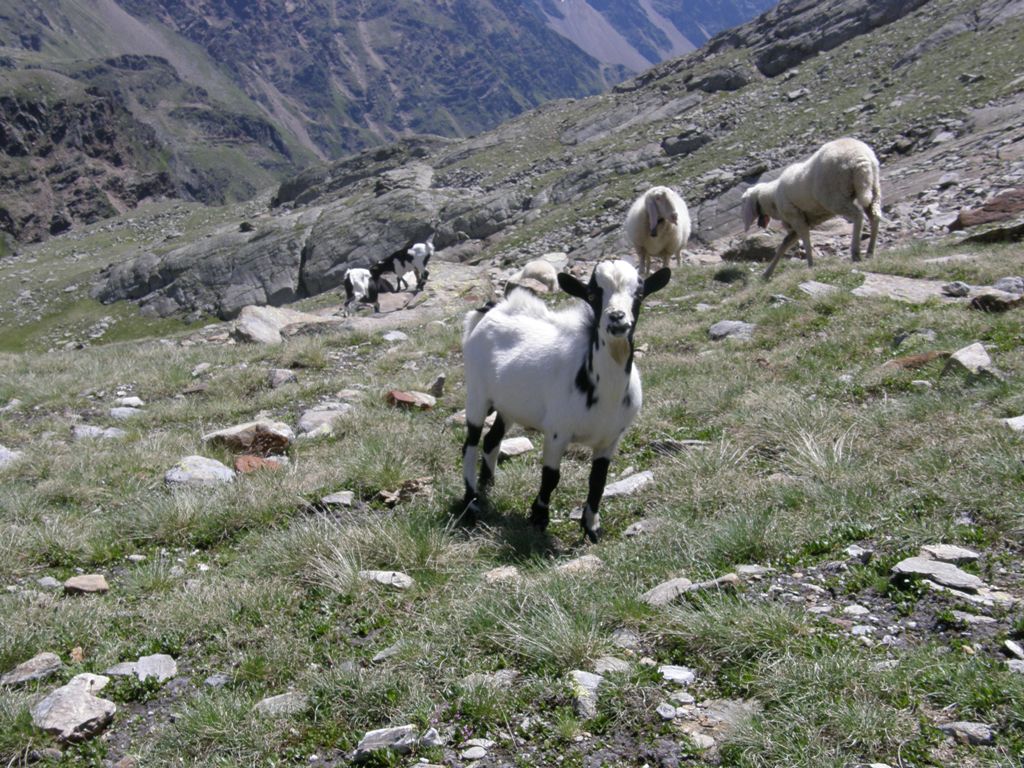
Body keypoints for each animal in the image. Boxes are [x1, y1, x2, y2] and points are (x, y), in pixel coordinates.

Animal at [462, 262, 671, 544]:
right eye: (593, 295)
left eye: (638, 295)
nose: (617, 318)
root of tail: (490, 310)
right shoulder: (557, 432)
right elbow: (551, 476)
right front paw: (538, 519)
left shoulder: (610, 439)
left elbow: (598, 480)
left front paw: (592, 528)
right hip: (476, 392)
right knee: (470, 443)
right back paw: (471, 501)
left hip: (508, 406)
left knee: (491, 439)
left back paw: (488, 485)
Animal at [741, 139, 884, 282]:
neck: (772, 198)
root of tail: (861, 158)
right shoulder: (799, 223)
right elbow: (784, 245)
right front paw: (767, 273)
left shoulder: (797, 218)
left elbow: (805, 239)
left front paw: (810, 264)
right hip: (873, 188)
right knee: (874, 216)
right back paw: (870, 252)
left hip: (835, 198)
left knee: (858, 215)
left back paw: (856, 253)